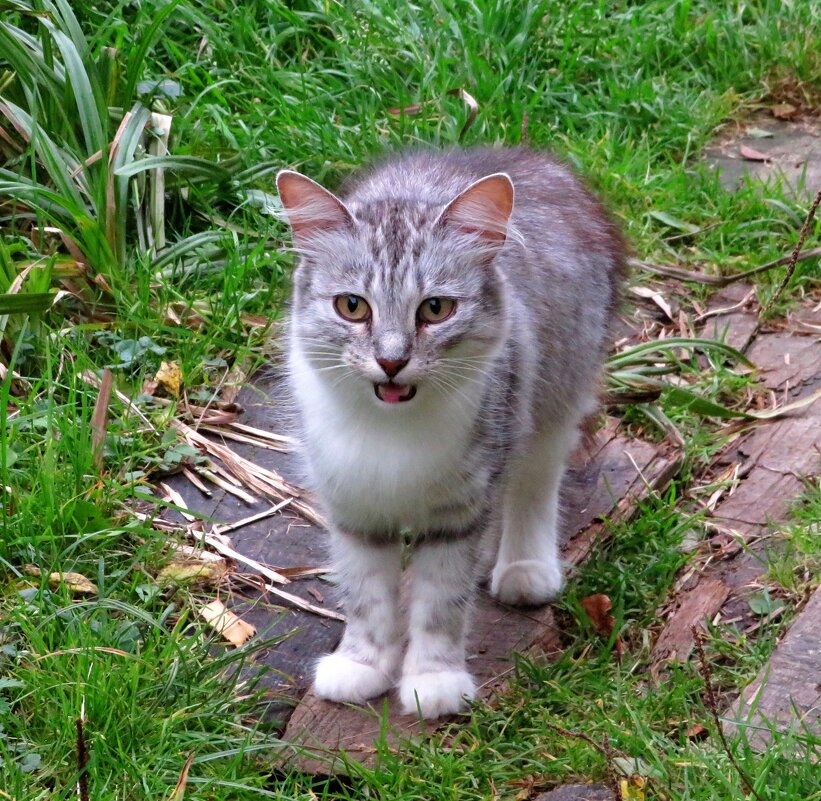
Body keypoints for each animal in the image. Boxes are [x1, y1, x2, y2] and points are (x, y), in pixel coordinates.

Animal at [274, 147, 620, 716]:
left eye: (435, 309)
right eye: (352, 306)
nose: (392, 361)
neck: (394, 431)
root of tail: (517, 154)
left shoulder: (458, 513)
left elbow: (440, 604)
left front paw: (432, 680)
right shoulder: (353, 505)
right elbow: (367, 598)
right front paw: (362, 665)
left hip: (551, 400)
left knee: (534, 482)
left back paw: (523, 567)